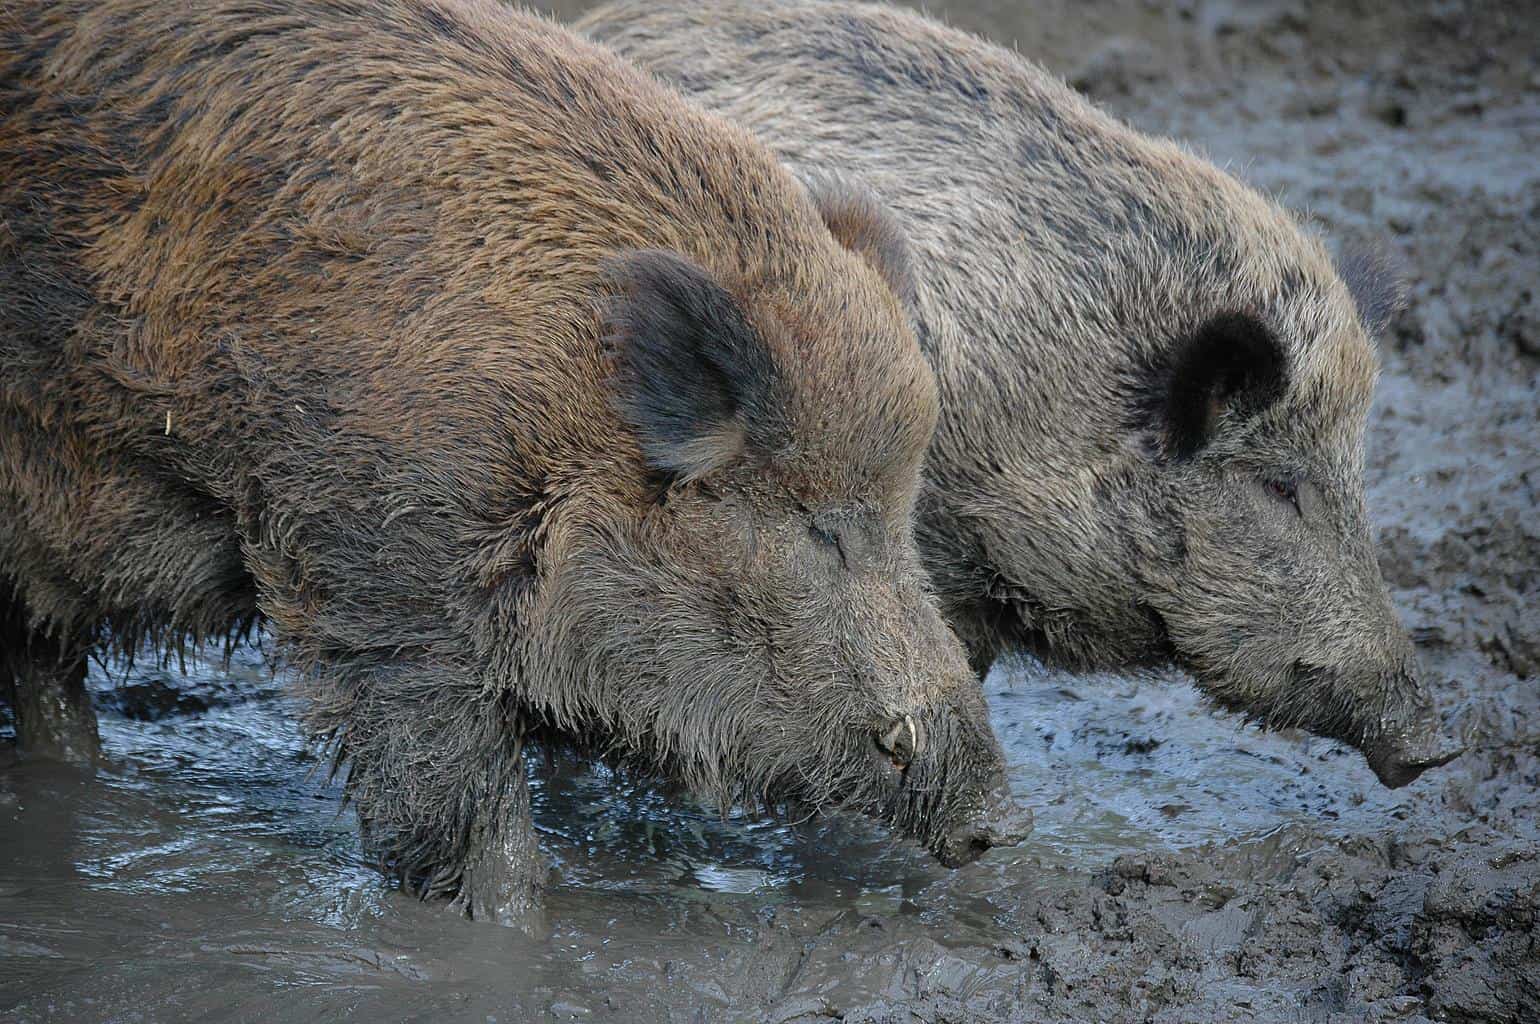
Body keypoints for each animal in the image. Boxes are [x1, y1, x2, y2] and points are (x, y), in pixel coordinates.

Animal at [0, 0, 1027, 923]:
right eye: (819, 528)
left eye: (904, 510)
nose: (998, 825)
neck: (558, 419)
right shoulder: (384, 583)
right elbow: (471, 827)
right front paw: (506, 929)